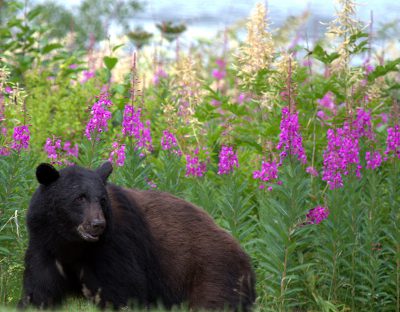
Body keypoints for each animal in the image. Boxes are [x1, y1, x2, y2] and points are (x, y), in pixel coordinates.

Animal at [18, 162, 256, 310]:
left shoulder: (115, 247)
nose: (97, 225)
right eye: (79, 198)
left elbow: (125, 291)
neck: (71, 245)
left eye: (102, 199)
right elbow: (39, 291)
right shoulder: (45, 248)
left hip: (212, 273)